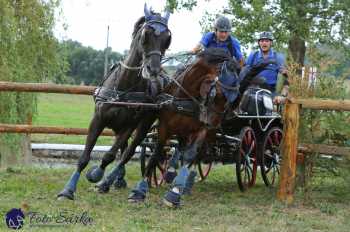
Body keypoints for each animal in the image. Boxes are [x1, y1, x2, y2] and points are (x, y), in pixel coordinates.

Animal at [56, 3, 172, 200]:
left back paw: (109, 181)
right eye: (145, 35)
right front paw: (68, 189)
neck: (124, 87)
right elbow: (84, 157)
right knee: (123, 150)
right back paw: (118, 180)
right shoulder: (98, 119)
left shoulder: (130, 126)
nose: (153, 69)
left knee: (128, 152)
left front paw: (96, 175)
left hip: (144, 124)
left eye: (167, 39)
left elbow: (110, 156)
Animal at [127, 48, 242, 207]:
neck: (185, 98)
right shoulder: (164, 127)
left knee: (197, 154)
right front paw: (138, 191)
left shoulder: (200, 130)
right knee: (177, 149)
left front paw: (174, 193)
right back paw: (171, 172)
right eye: (216, 94)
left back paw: (185, 183)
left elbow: (190, 156)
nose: (214, 124)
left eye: (233, 98)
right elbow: (156, 154)